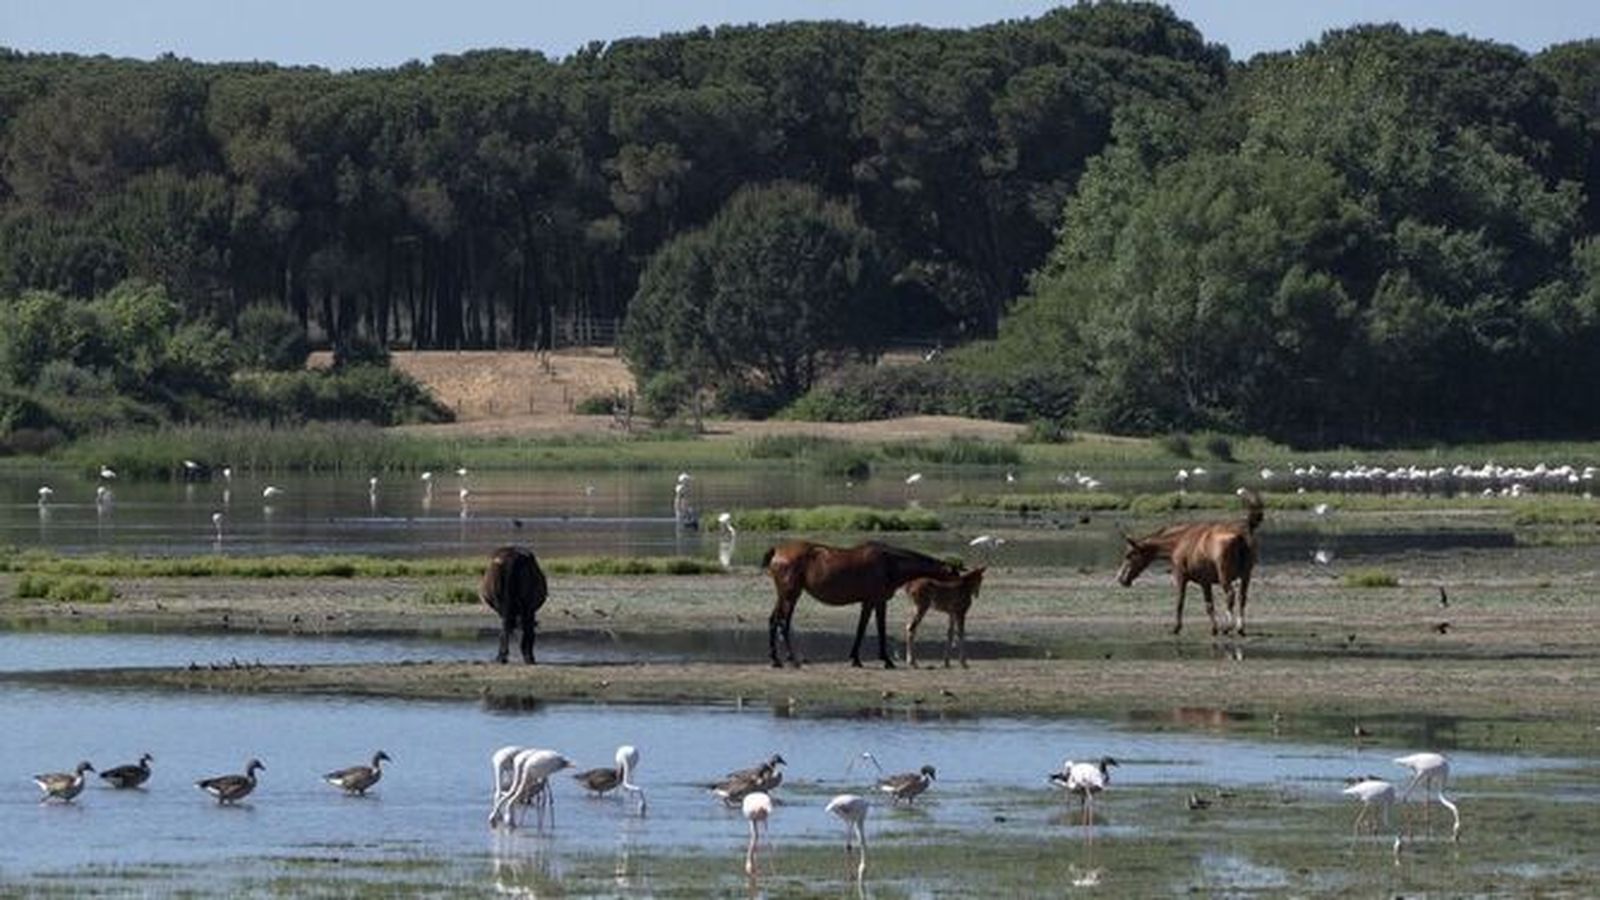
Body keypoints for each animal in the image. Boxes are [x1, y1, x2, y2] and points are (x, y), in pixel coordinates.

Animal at [760, 540, 962, 669]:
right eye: (955, 575)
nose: (958, 595)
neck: (889, 563)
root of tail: (777, 551)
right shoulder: (871, 601)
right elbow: (866, 629)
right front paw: (869, 660)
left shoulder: (877, 602)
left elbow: (875, 628)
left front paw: (874, 659)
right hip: (790, 594)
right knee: (781, 622)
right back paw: (789, 659)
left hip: (786, 595)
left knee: (775, 620)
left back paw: (776, 659)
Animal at [1116, 489, 1264, 636]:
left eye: (1129, 555)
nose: (1121, 579)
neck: (1177, 543)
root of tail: (1244, 532)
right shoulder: (1205, 581)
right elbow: (1209, 604)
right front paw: (1214, 628)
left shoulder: (1182, 576)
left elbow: (1181, 602)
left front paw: (1177, 627)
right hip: (1246, 575)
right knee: (1242, 597)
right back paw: (1240, 628)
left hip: (1225, 576)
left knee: (1230, 595)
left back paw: (1227, 627)